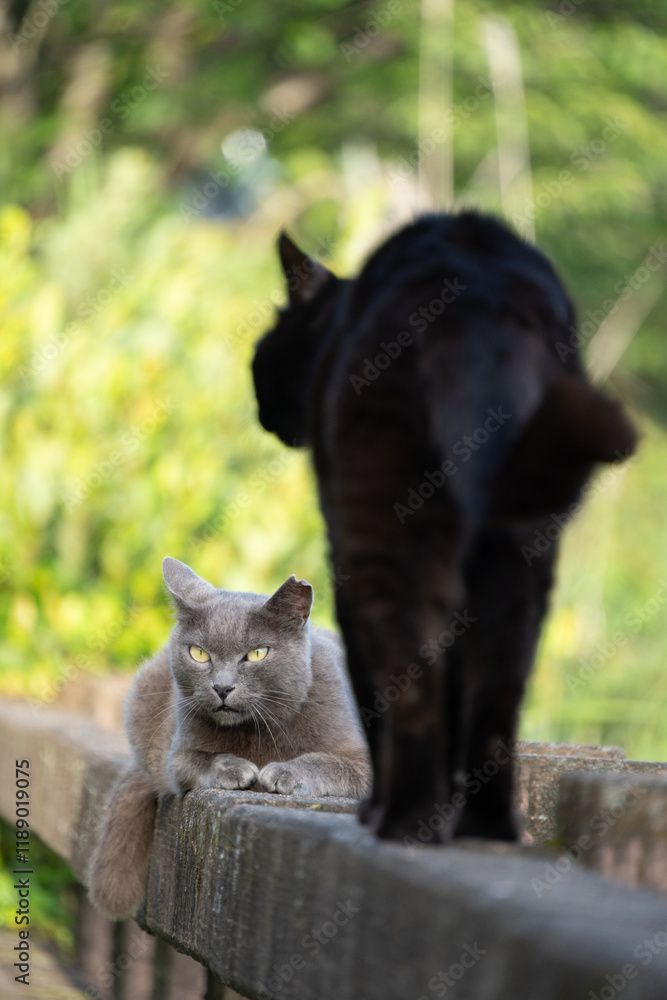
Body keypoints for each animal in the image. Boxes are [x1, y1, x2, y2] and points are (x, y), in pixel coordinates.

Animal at [87, 560, 370, 916]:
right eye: (198, 653)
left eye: (258, 653)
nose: (222, 687)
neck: (256, 730)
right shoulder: (178, 752)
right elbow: (197, 759)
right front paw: (235, 769)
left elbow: (328, 761)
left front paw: (285, 772)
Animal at [252, 213, 636, 844]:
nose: (261, 409)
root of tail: (477, 297)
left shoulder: (342, 553)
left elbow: (372, 689)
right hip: (520, 552)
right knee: (496, 691)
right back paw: (487, 828)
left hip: (387, 533)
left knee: (408, 680)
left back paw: (402, 821)